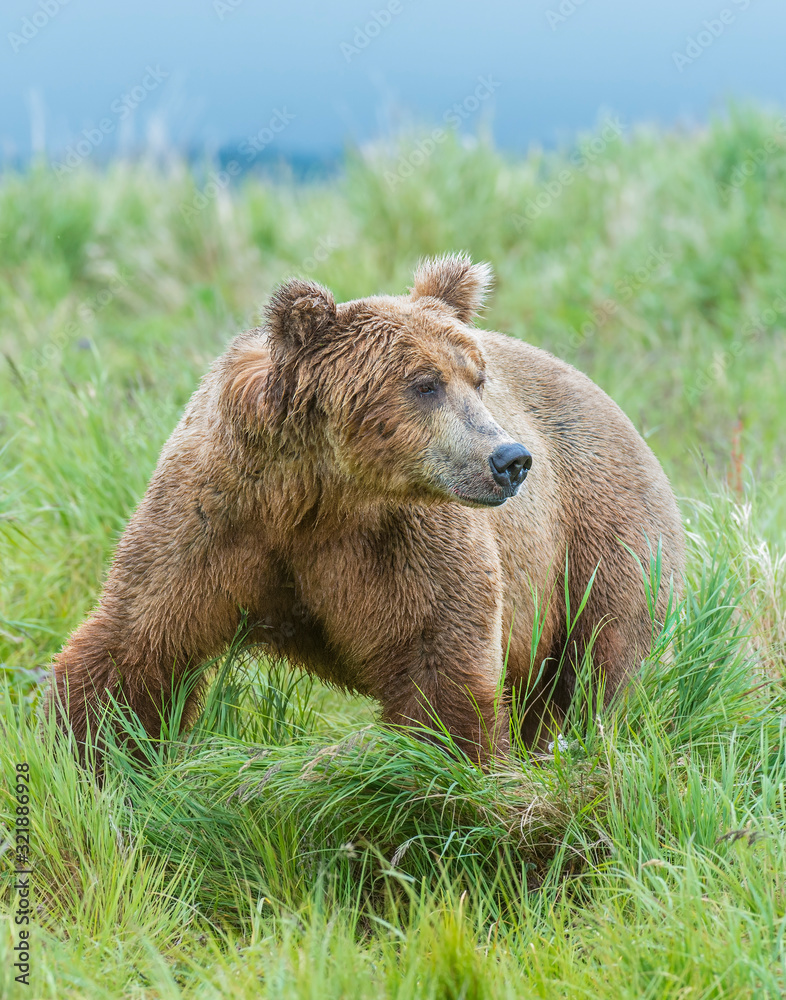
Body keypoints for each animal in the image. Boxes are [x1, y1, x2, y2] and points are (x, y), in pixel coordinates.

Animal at [47, 253, 685, 766]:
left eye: (477, 380)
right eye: (425, 383)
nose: (511, 459)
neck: (319, 495)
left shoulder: (403, 541)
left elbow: (440, 662)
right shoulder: (217, 516)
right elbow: (138, 641)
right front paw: (90, 759)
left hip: (602, 537)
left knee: (603, 666)